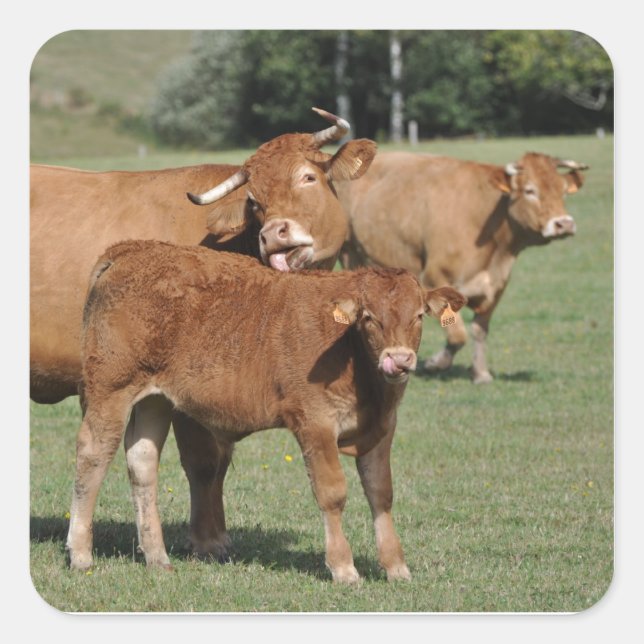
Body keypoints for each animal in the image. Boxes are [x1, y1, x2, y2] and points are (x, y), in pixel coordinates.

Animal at [65, 240, 466, 582]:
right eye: (368, 317)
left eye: (419, 315)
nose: (399, 360)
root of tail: (131, 249)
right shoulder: (314, 423)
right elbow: (332, 493)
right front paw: (343, 567)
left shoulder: (382, 429)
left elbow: (381, 493)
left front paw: (396, 566)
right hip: (111, 388)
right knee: (93, 455)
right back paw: (81, 553)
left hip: (154, 400)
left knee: (143, 461)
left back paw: (157, 556)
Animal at [337, 151, 588, 384]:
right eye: (530, 191)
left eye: (563, 191)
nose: (564, 224)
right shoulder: (436, 278)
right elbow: (458, 334)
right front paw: (435, 363)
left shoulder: (496, 287)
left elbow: (479, 330)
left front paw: (480, 373)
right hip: (348, 252)